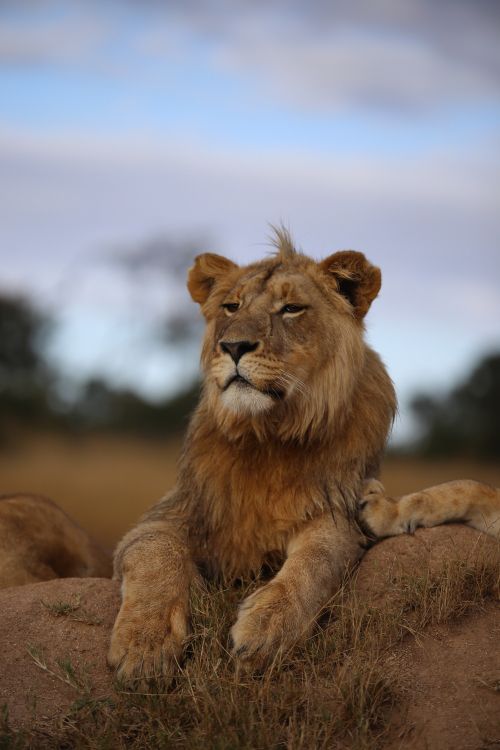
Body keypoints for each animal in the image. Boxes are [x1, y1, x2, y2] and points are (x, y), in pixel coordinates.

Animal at [108, 229, 500, 686]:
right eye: (231, 307)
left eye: (291, 308)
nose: (233, 346)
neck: (269, 436)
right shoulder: (172, 513)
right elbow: (155, 550)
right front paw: (145, 645)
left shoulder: (333, 510)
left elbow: (315, 560)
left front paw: (267, 627)